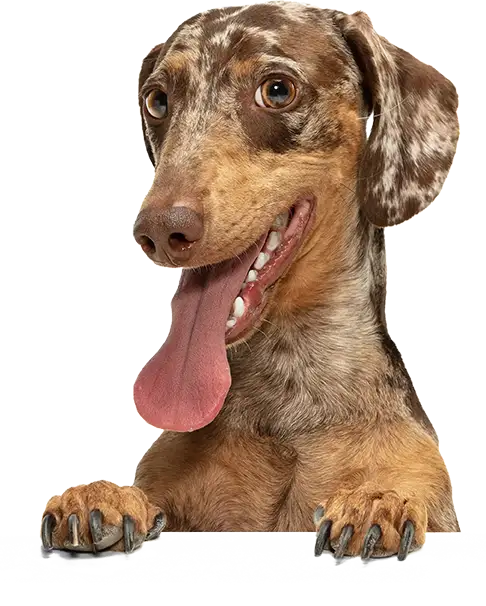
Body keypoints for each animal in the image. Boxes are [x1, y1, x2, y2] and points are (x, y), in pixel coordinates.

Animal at [41, 0, 461, 560]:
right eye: (157, 100)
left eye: (277, 90)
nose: (159, 230)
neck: (284, 399)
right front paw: (105, 495)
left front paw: (377, 502)